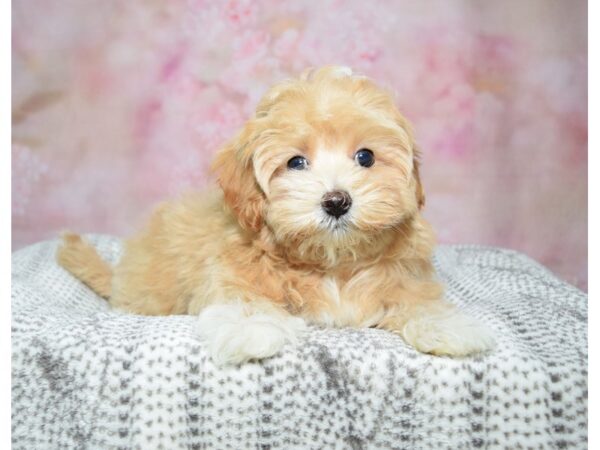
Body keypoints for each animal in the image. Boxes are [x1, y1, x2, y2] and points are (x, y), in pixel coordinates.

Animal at [57, 65, 496, 364]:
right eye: (296, 162)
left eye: (366, 157)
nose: (336, 201)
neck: (331, 262)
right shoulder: (233, 267)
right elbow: (246, 299)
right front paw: (251, 329)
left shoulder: (403, 272)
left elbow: (417, 298)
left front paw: (446, 324)